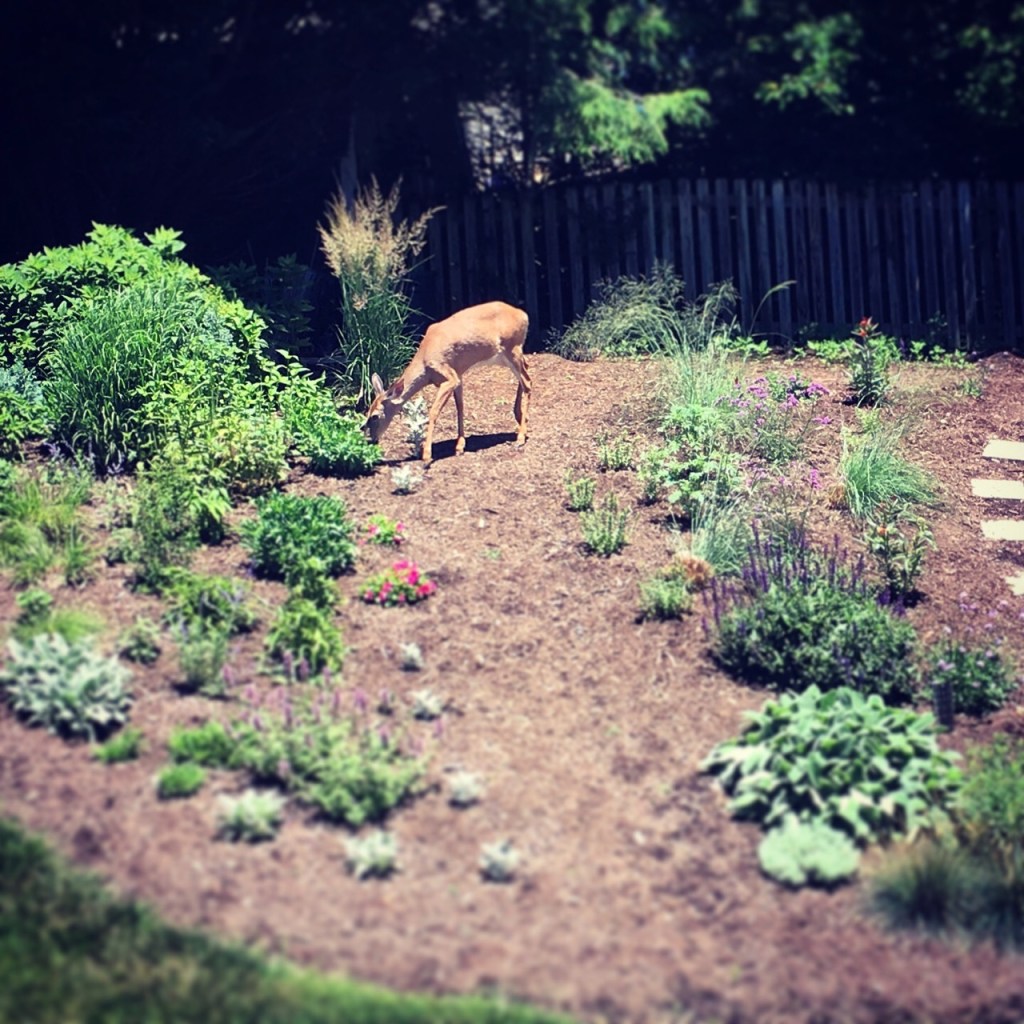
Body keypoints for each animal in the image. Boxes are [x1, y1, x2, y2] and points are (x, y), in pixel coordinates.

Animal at [364, 301, 531, 465]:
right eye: (367, 412)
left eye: (375, 416)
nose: (370, 440)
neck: (425, 366)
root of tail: (523, 315)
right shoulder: (458, 375)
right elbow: (460, 407)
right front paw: (459, 446)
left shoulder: (449, 376)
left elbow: (433, 412)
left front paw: (427, 455)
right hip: (504, 356)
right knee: (526, 369)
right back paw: (520, 418)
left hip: (512, 348)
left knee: (527, 382)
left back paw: (521, 436)